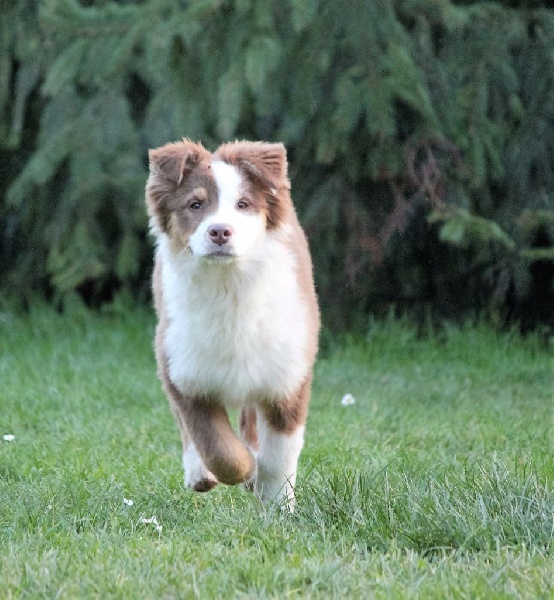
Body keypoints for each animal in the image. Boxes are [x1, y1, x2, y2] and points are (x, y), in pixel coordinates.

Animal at [146, 138, 320, 508]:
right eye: (195, 204)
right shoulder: (184, 369)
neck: (230, 285)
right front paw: (245, 469)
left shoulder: (287, 373)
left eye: (243, 204)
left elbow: (280, 453)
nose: (220, 231)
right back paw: (200, 473)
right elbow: (217, 446)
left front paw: (277, 506)